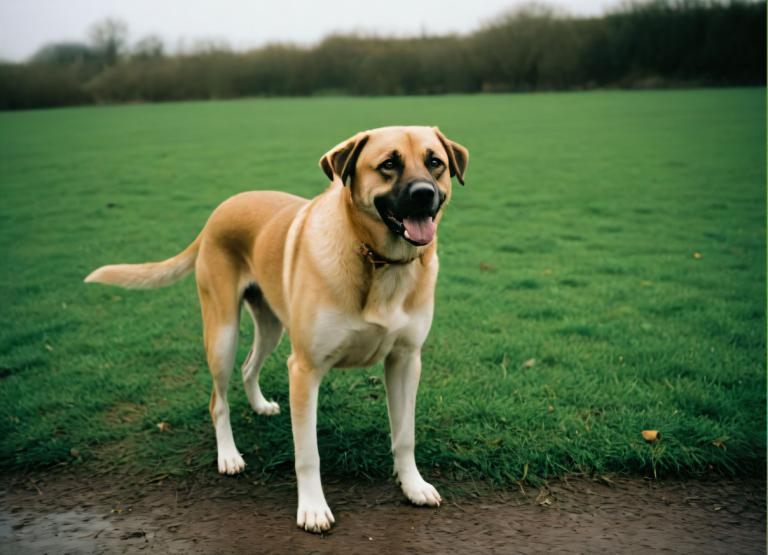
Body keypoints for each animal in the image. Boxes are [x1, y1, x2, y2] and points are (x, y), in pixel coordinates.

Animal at [84, 126, 468, 536]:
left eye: (434, 162)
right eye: (388, 164)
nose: (424, 194)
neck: (379, 263)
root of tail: (219, 211)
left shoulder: (405, 361)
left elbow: (405, 435)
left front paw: (413, 485)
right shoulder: (304, 369)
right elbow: (307, 453)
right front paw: (313, 508)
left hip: (270, 326)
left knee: (249, 365)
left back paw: (259, 405)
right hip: (222, 332)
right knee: (218, 400)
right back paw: (229, 455)